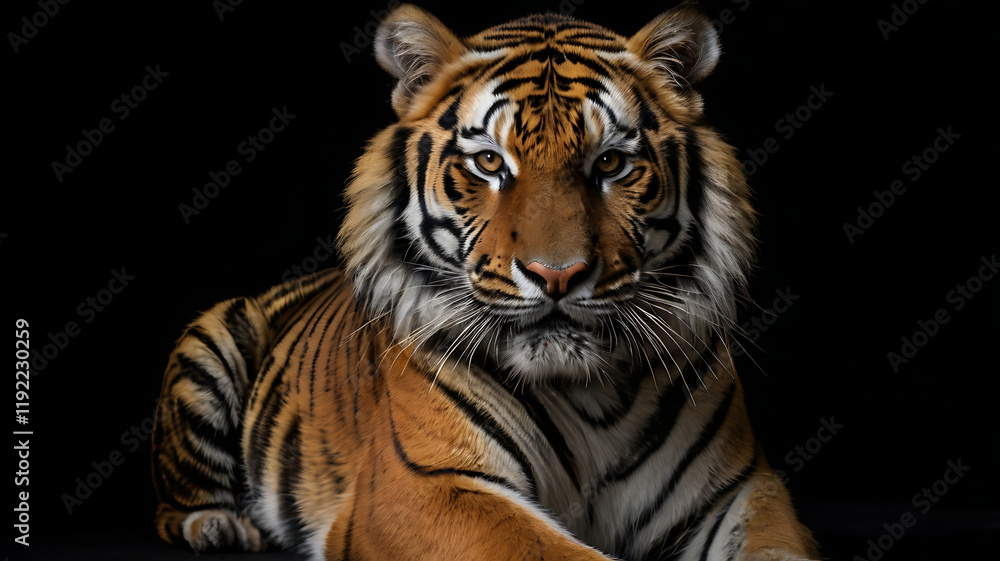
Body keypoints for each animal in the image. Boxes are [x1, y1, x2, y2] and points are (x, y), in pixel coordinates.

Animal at [151, 3, 820, 560]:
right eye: (490, 162)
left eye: (609, 163)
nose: (557, 275)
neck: (593, 392)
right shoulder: (427, 487)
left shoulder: (738, 491)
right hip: (213, 337)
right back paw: (218, 527)